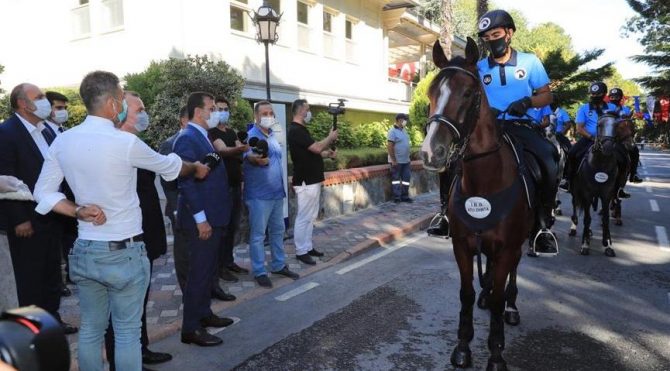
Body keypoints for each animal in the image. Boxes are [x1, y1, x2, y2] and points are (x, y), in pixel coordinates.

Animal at [420, 38, 536, 371]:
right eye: (431, 93)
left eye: (469, 93)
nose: (431, 152)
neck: (486, 180)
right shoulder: (461, 245)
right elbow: (466, 294)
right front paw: (462, 346)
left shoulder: (508, 246)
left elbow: (498, 297)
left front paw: (496, 354)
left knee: (510, 275)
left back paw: (511, 307)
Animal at [568, 115, 632, 258]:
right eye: (599, 125)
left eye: (616, 126)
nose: (607, 147)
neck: (600, 164)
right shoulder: (586, 194)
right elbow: (587, 218)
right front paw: (585, 245)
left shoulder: (606, 195)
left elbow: (605, 219)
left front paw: (608, 244)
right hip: (575, 190)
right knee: (575, 206)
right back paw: (573, 228)